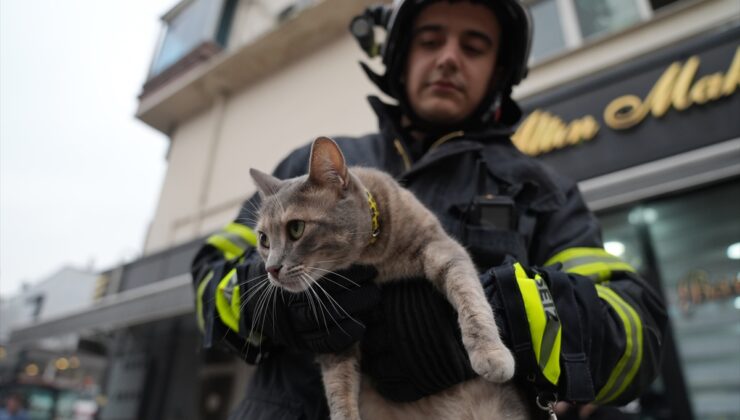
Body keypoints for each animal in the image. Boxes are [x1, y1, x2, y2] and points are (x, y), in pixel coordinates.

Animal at [249, 138, 528, 420]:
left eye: (296, 228)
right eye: (263, 239)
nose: (271, 268)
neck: (372, 260)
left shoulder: (442, 248)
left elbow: (470, 298)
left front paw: (490, 353)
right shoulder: (336, 333)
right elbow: (338, 384)